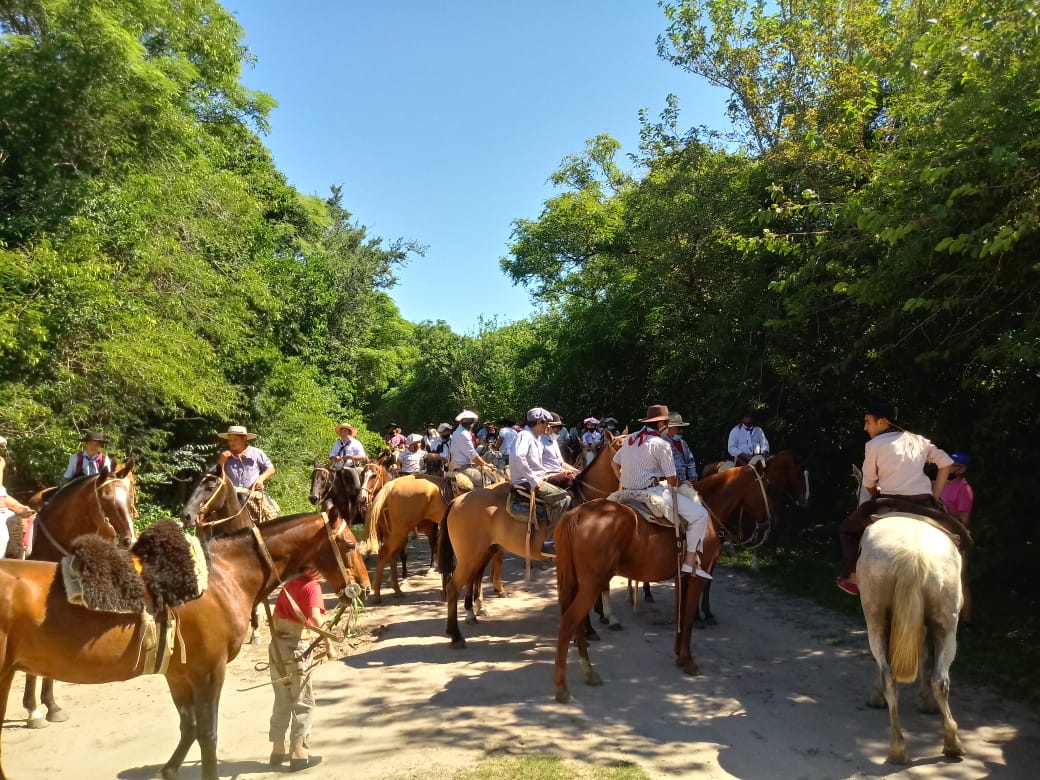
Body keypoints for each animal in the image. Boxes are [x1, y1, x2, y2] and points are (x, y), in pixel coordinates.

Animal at [0, 513, 361, 780]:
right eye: (349, 543)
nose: (361, 588)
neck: (224, 576)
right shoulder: (210, 671)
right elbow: (208, 733)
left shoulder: (178, 673)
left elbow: (188, 726)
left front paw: (170, 770)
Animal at [553, 467, 786, 707]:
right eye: (767, 486)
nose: (774, 522)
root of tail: (576, 514)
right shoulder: (697, 577)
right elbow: (688, 618)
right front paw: (688, 661)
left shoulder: (681, 577)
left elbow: (680, 615)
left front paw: (678, 655)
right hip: (591, 585)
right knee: (569, 622)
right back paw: (562, 688)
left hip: (578, 584)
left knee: (577, 623)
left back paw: (589, 672)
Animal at [856, 515, 960, 765]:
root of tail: (913, 555)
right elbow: (923, 652)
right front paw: (925, 700)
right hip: (945, 626)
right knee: (938, 679)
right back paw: (950, 743)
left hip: (877, 617)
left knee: (891, 676)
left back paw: (899, 748)